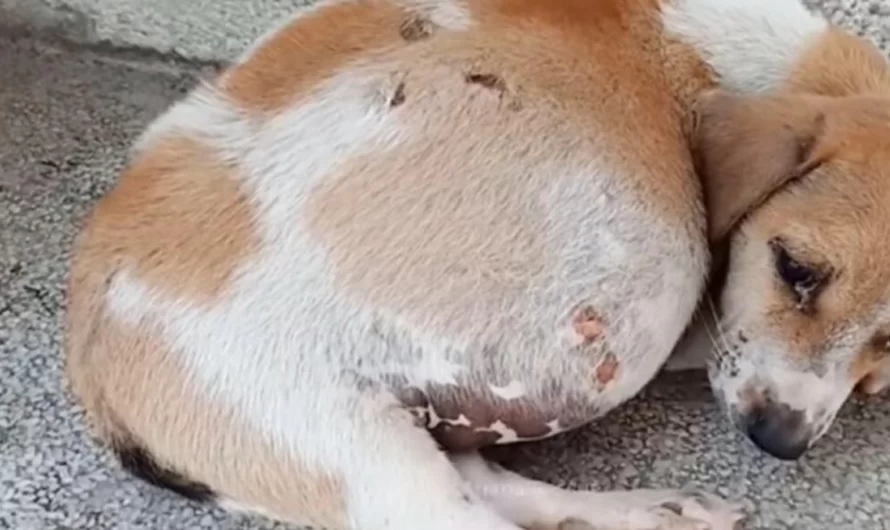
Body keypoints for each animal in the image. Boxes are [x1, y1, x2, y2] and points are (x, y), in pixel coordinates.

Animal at [62, 0, 888, 524]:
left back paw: (656, 512)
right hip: (344, 447)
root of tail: (94, 377)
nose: (780, 444)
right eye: (796, 270)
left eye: (886, 352)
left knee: (499, 490)